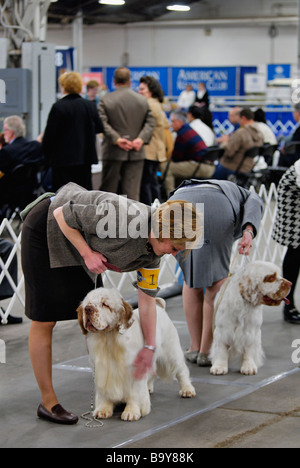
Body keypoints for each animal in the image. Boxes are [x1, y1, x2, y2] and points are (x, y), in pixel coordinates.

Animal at [76, 288, 196, 422]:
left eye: (105, 304)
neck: (109, 338)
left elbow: (134, 393)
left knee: (181, 371)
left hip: (171, 352)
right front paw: (103, 409)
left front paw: (131, 412)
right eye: (87, 304)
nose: (88, 309)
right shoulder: (100, 371)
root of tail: (159, 307)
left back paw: (187, 389)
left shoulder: (133, 370)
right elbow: (103, 394)